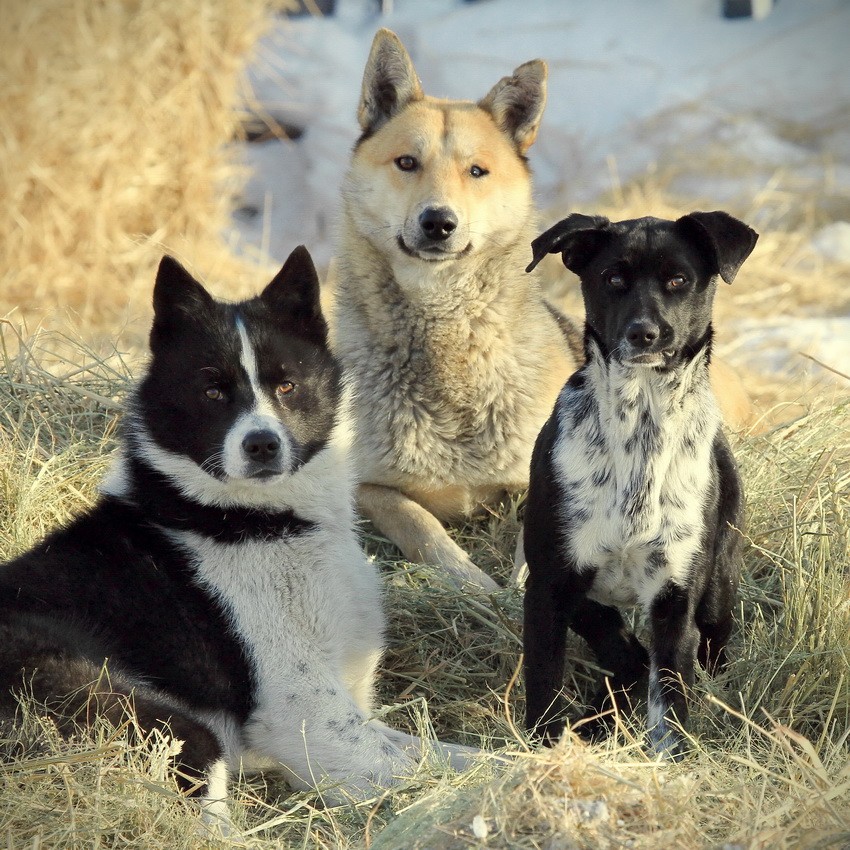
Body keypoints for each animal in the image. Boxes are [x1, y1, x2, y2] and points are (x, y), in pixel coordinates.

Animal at [0, 245, 474, 828]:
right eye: (212, 391)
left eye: (287, 385)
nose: (262, 444)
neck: (250, 520)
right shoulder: (306, 715)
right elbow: (423, 775)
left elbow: (456, 754)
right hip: (166, 722)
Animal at [524, 210, 756, 756]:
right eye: (612, 279)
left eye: (678, 281)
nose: (645, 333)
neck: (641, 429)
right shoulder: (548, 580)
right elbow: (552, 672)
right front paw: (546, 748)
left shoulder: (676, 596)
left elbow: (669, 694)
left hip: (720, 582)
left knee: (713, 640)